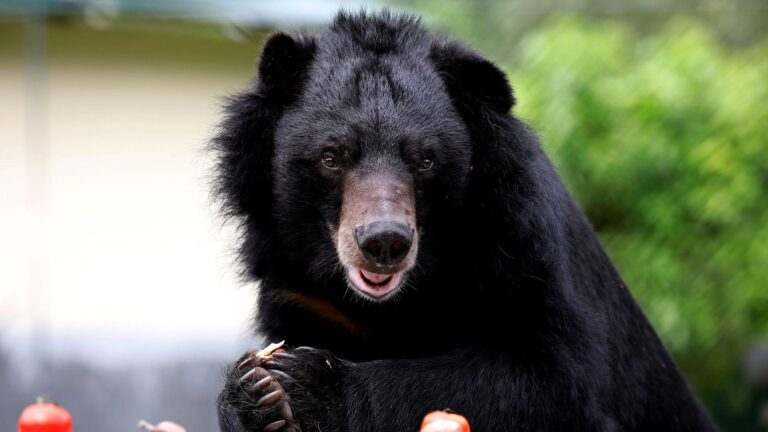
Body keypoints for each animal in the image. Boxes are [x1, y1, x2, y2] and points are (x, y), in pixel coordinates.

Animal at [212, 10, 718, 432]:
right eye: (331, 156)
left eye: (426, 159)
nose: (384, 242)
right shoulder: (303, 292)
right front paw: (253, 393)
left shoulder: (525, 249)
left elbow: (551, 378)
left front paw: (311, 386)